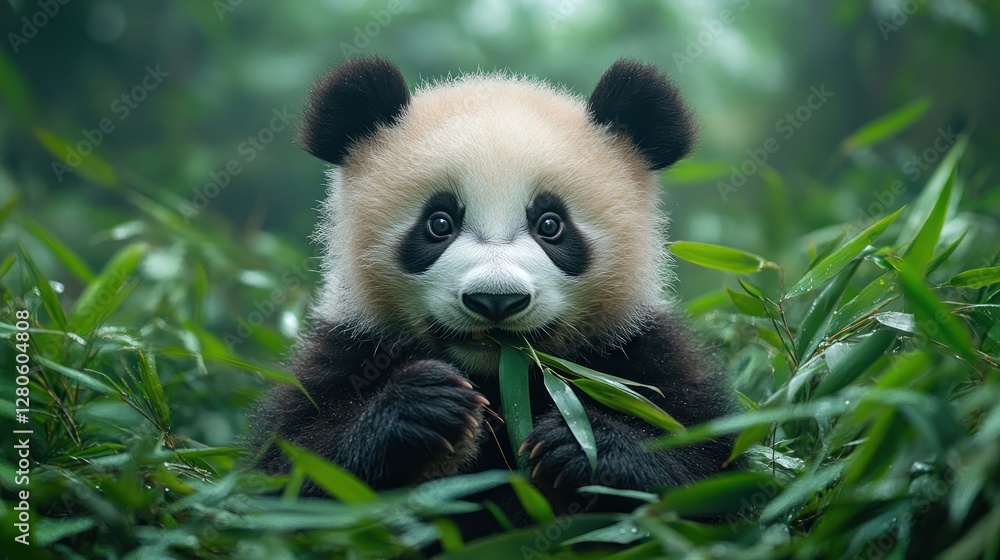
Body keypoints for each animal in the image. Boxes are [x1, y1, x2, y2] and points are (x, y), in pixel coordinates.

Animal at [250, 56, 737, 526]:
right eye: (439, 223)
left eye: (551, 225)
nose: (496, 299)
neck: (502, 377)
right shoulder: (346, 348)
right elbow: (286, 475)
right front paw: (424, 406)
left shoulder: (643, 353)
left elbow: (709, 471)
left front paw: (578, 439)